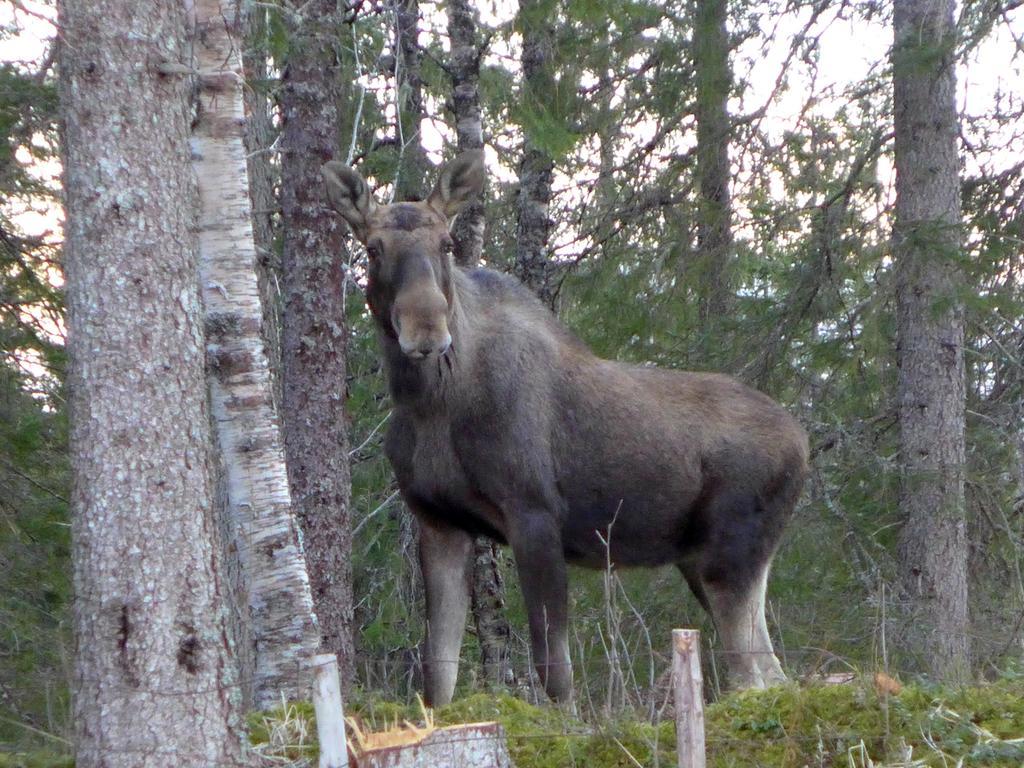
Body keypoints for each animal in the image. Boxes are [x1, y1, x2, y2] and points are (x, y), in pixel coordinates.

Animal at [321, 153, 806, 708]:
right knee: (773, 675)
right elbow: (437, 675)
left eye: (446, 243)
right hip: (705, 561)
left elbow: (554, 670)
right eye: (372, 247)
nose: (426, 331)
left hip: (731, 555)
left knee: (756, 678)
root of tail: (804, 443)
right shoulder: (439, 522)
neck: (430, 404)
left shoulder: (534, 513)